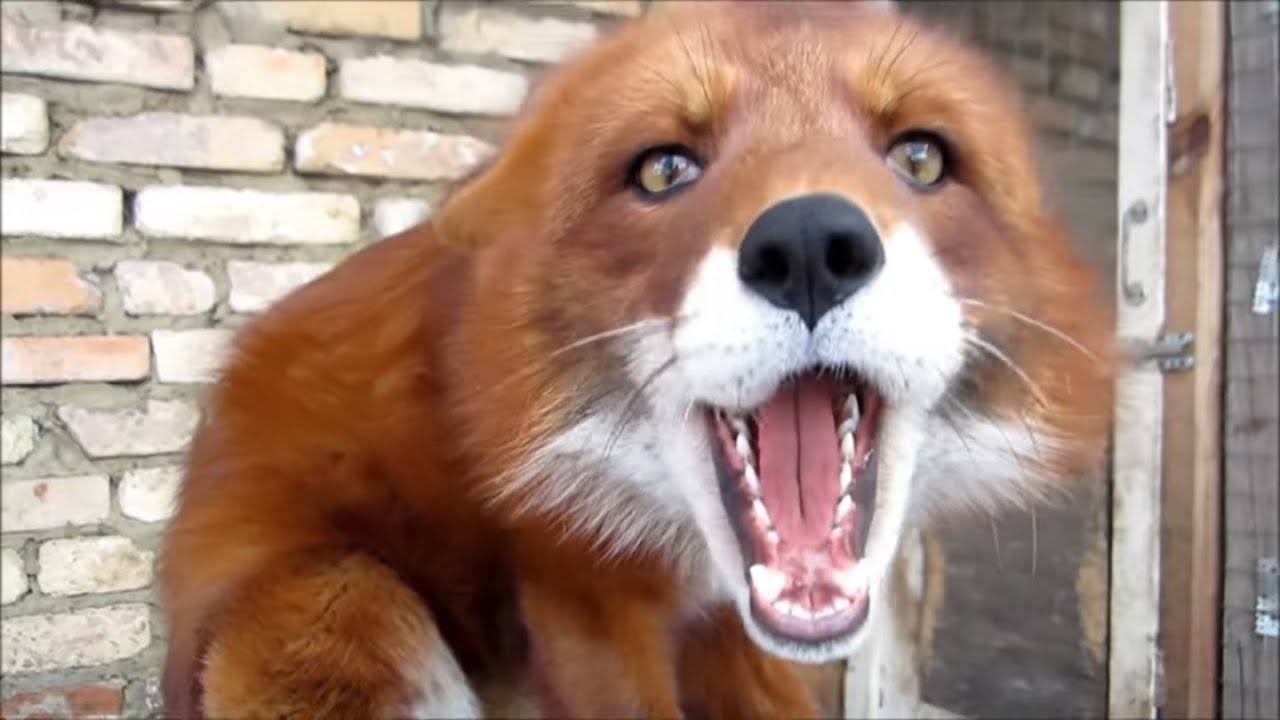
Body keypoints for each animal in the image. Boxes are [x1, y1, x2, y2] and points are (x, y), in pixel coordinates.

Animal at [158, 2, 1116, 717]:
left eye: (919, 155)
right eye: (663, 170)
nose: (811, 246)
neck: (680, 541)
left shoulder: (729, 629)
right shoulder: (577, 593)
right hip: (345, 601)